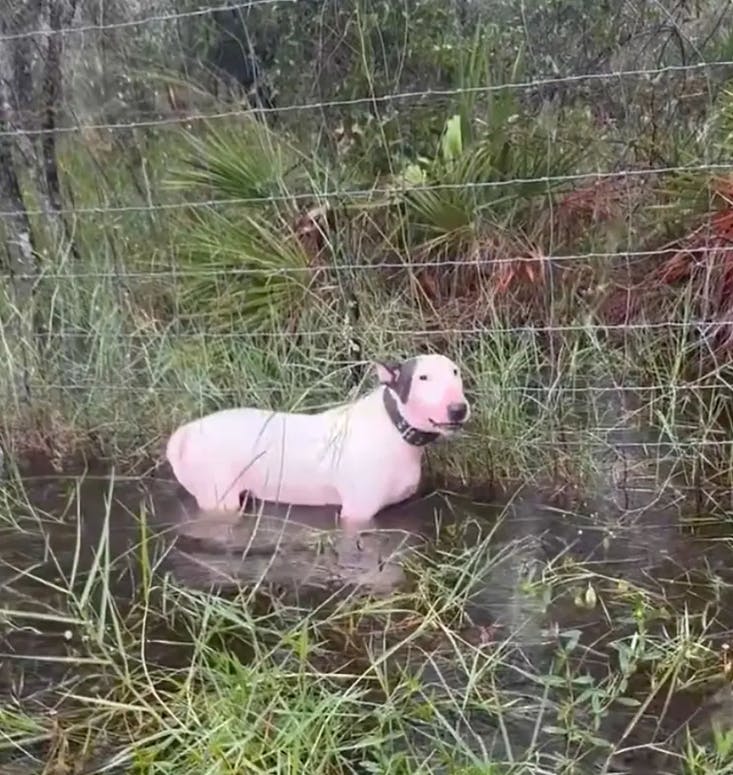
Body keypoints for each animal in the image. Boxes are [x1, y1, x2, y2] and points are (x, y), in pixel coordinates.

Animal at [166, 354, 468, 524]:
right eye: (423, 377)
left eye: (456, 372)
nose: (459, 408)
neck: (394, 428)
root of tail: (184, 434)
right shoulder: (357, 512)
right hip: (218, 495)